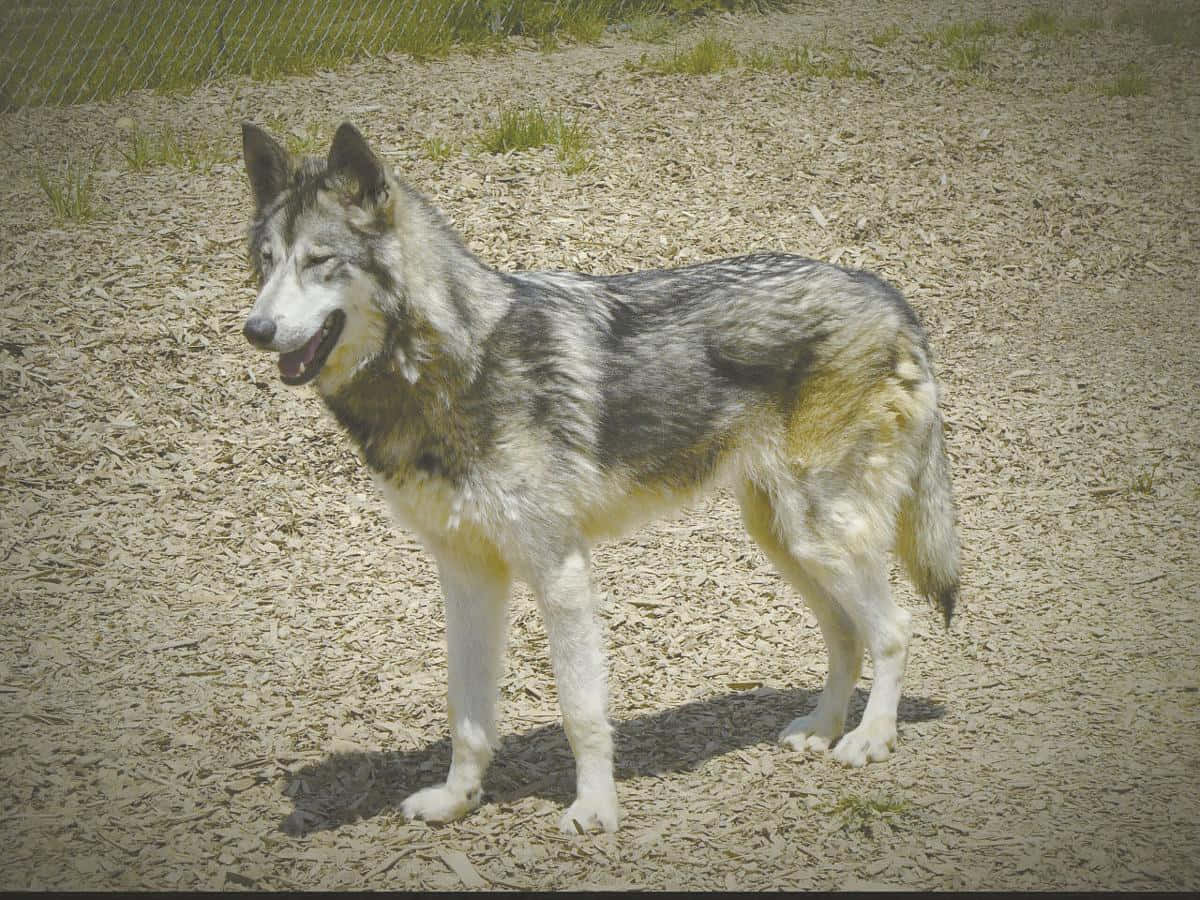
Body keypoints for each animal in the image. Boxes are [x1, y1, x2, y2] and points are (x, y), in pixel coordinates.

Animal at [241, 121, 955, 840]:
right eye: (266, 263)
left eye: (319, 260)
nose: (255, 329)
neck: (452, 365)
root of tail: (887, 293)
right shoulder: (468, 575)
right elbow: (467, 714)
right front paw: (456, 800)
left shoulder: (560, 571)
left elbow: (580, 710)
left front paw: (595, 808)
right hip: (785, 539)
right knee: (846, 634)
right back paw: (823, 728)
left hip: (821, 535)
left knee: (894, 629)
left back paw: (870, 739)